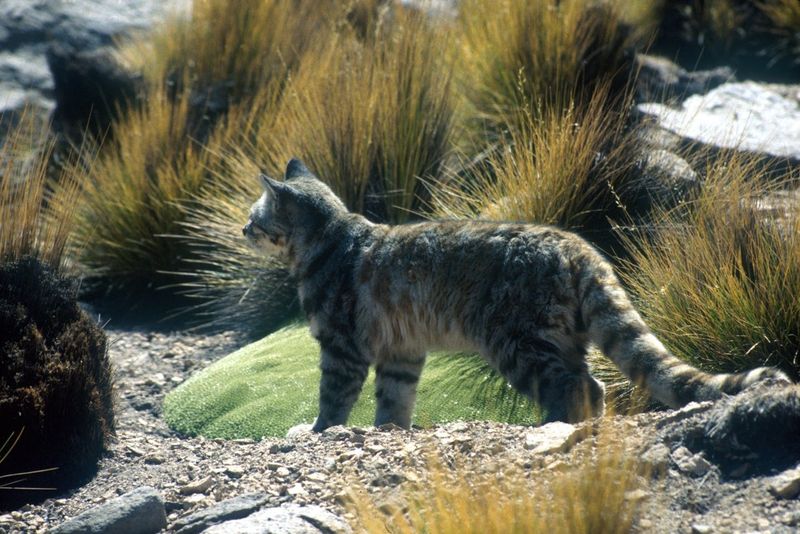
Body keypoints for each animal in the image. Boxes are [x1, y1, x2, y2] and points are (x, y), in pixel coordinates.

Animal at [241, 157, 792, 434]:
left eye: (254, 214)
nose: (243, 229)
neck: (329, 240)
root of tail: (578, 246)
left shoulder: (341, 348)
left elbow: (333, 400)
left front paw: (319, 431)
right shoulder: (402, 352)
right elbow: (393, 401)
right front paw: (387, 431)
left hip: (517, 341)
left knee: (574, 384)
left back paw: (552, 425)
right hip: (560, 335)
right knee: (594, 383)